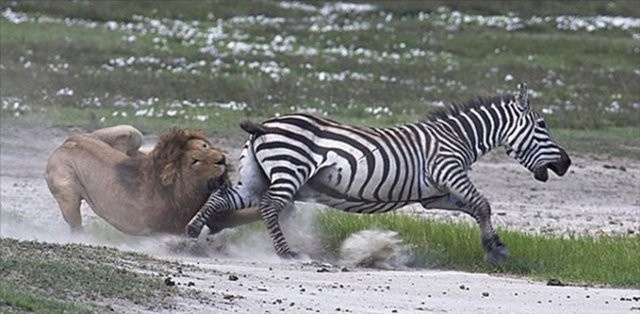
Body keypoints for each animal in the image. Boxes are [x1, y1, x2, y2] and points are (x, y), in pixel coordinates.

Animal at [44, 125, 260, 236]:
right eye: (195, 161)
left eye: (205, 146)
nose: (221, 159)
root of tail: (68, 142)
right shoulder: (168, 229)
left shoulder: (217, 217)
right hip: (66, 189)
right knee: (75, 223)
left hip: (131, 133)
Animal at [185, 83, 568, 262]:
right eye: (543, 126)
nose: (566, 163)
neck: (459, 137)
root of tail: (265, 124)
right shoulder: (449, 171)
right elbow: (483, 204)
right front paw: (495, 249)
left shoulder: (436, 196)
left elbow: (475, 210)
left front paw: (494, 247)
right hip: (289, 171)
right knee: (269, 206)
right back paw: (286, 253)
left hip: (256, 176)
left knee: (223, 196)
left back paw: (192, 233)